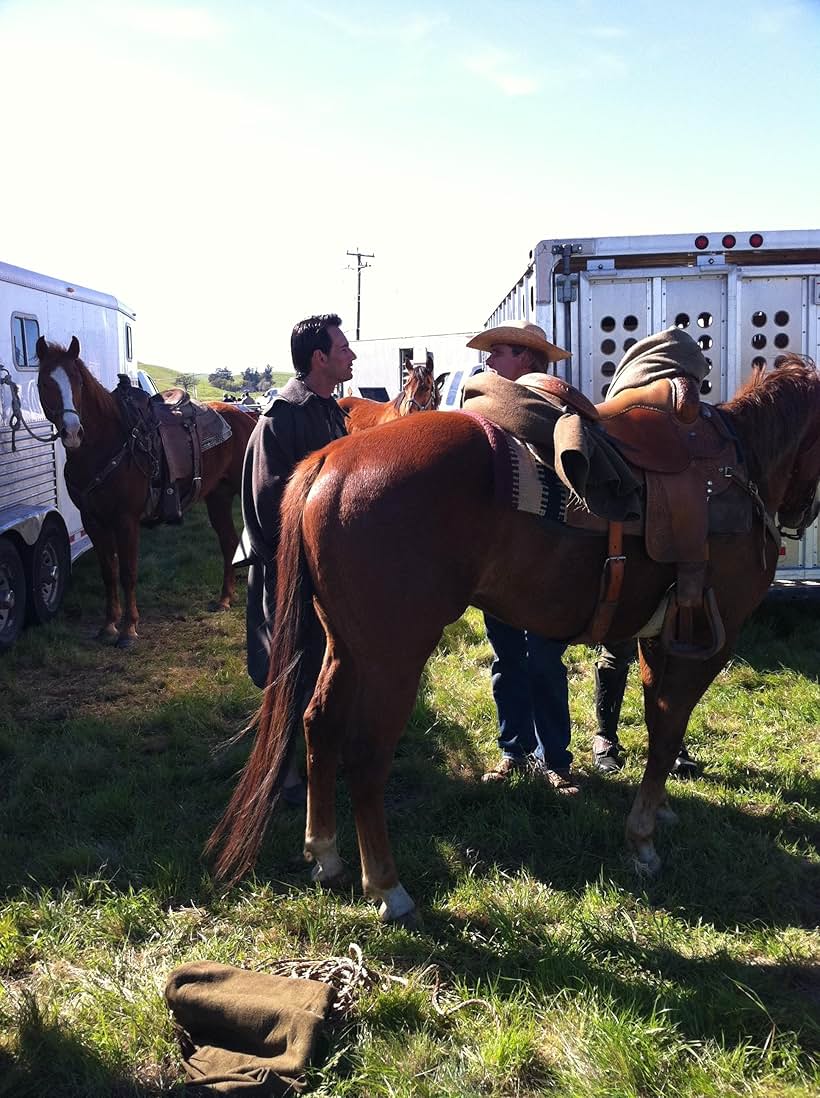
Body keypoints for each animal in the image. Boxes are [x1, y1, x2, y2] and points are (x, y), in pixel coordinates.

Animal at [35, 333, 256, 641]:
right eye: (45, 383)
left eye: (78, 382)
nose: (73, 431)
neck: (107, 444)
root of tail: (248, 417)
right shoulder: (93, 521)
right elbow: (109, 572)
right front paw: (108, 625)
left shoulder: (126, 520)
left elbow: (128, 572)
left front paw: (129, 629)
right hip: (218, 497)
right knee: (228, 541)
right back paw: (225, 598)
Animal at [209, 357, 820, 926]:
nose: (801, 513)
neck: (736, 470)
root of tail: (330, 461)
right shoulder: (711, 641)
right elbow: (669, 729)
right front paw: (643, 839)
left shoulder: (657, 637)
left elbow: (657, 721)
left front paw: (660, 810)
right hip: (395, 658)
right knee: (365, 755)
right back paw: (388, 887)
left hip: (348, 647)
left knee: (319, 724)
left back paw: (326, 854)